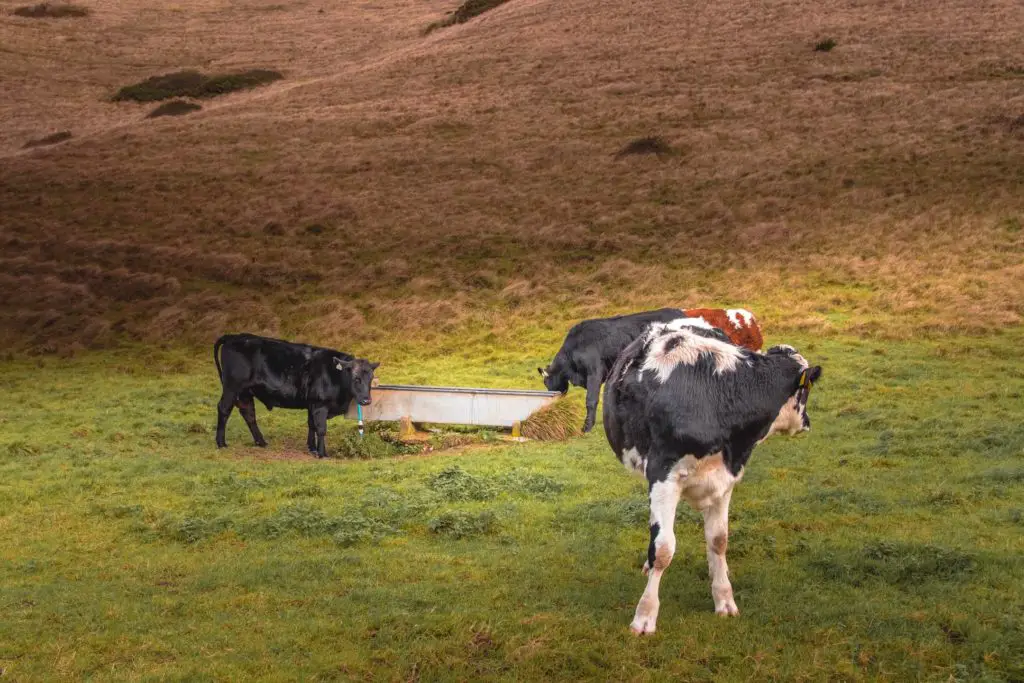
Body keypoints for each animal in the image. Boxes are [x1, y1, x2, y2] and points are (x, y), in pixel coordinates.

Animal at [215, 331, 380, 458]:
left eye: (371, 378)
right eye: (356, 378)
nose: (366, 400)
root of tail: (233, 336)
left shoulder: (312, 404)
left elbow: (311, 425)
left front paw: (312, 448)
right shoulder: (320, 405)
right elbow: (321, 429)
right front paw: (322, 453)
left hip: (245, 392)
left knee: (248, 413)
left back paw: (261, 442)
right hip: (232, 387)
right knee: (224, 409)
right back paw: (221, 443)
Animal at [602, 321, 819, 634]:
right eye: (806, 392)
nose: (807, 422)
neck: (718, 394)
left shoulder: (725, 478)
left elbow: (719, 540)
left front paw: (724, 598)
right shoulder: (663, 474)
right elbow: (663, 548)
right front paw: (645, 615)